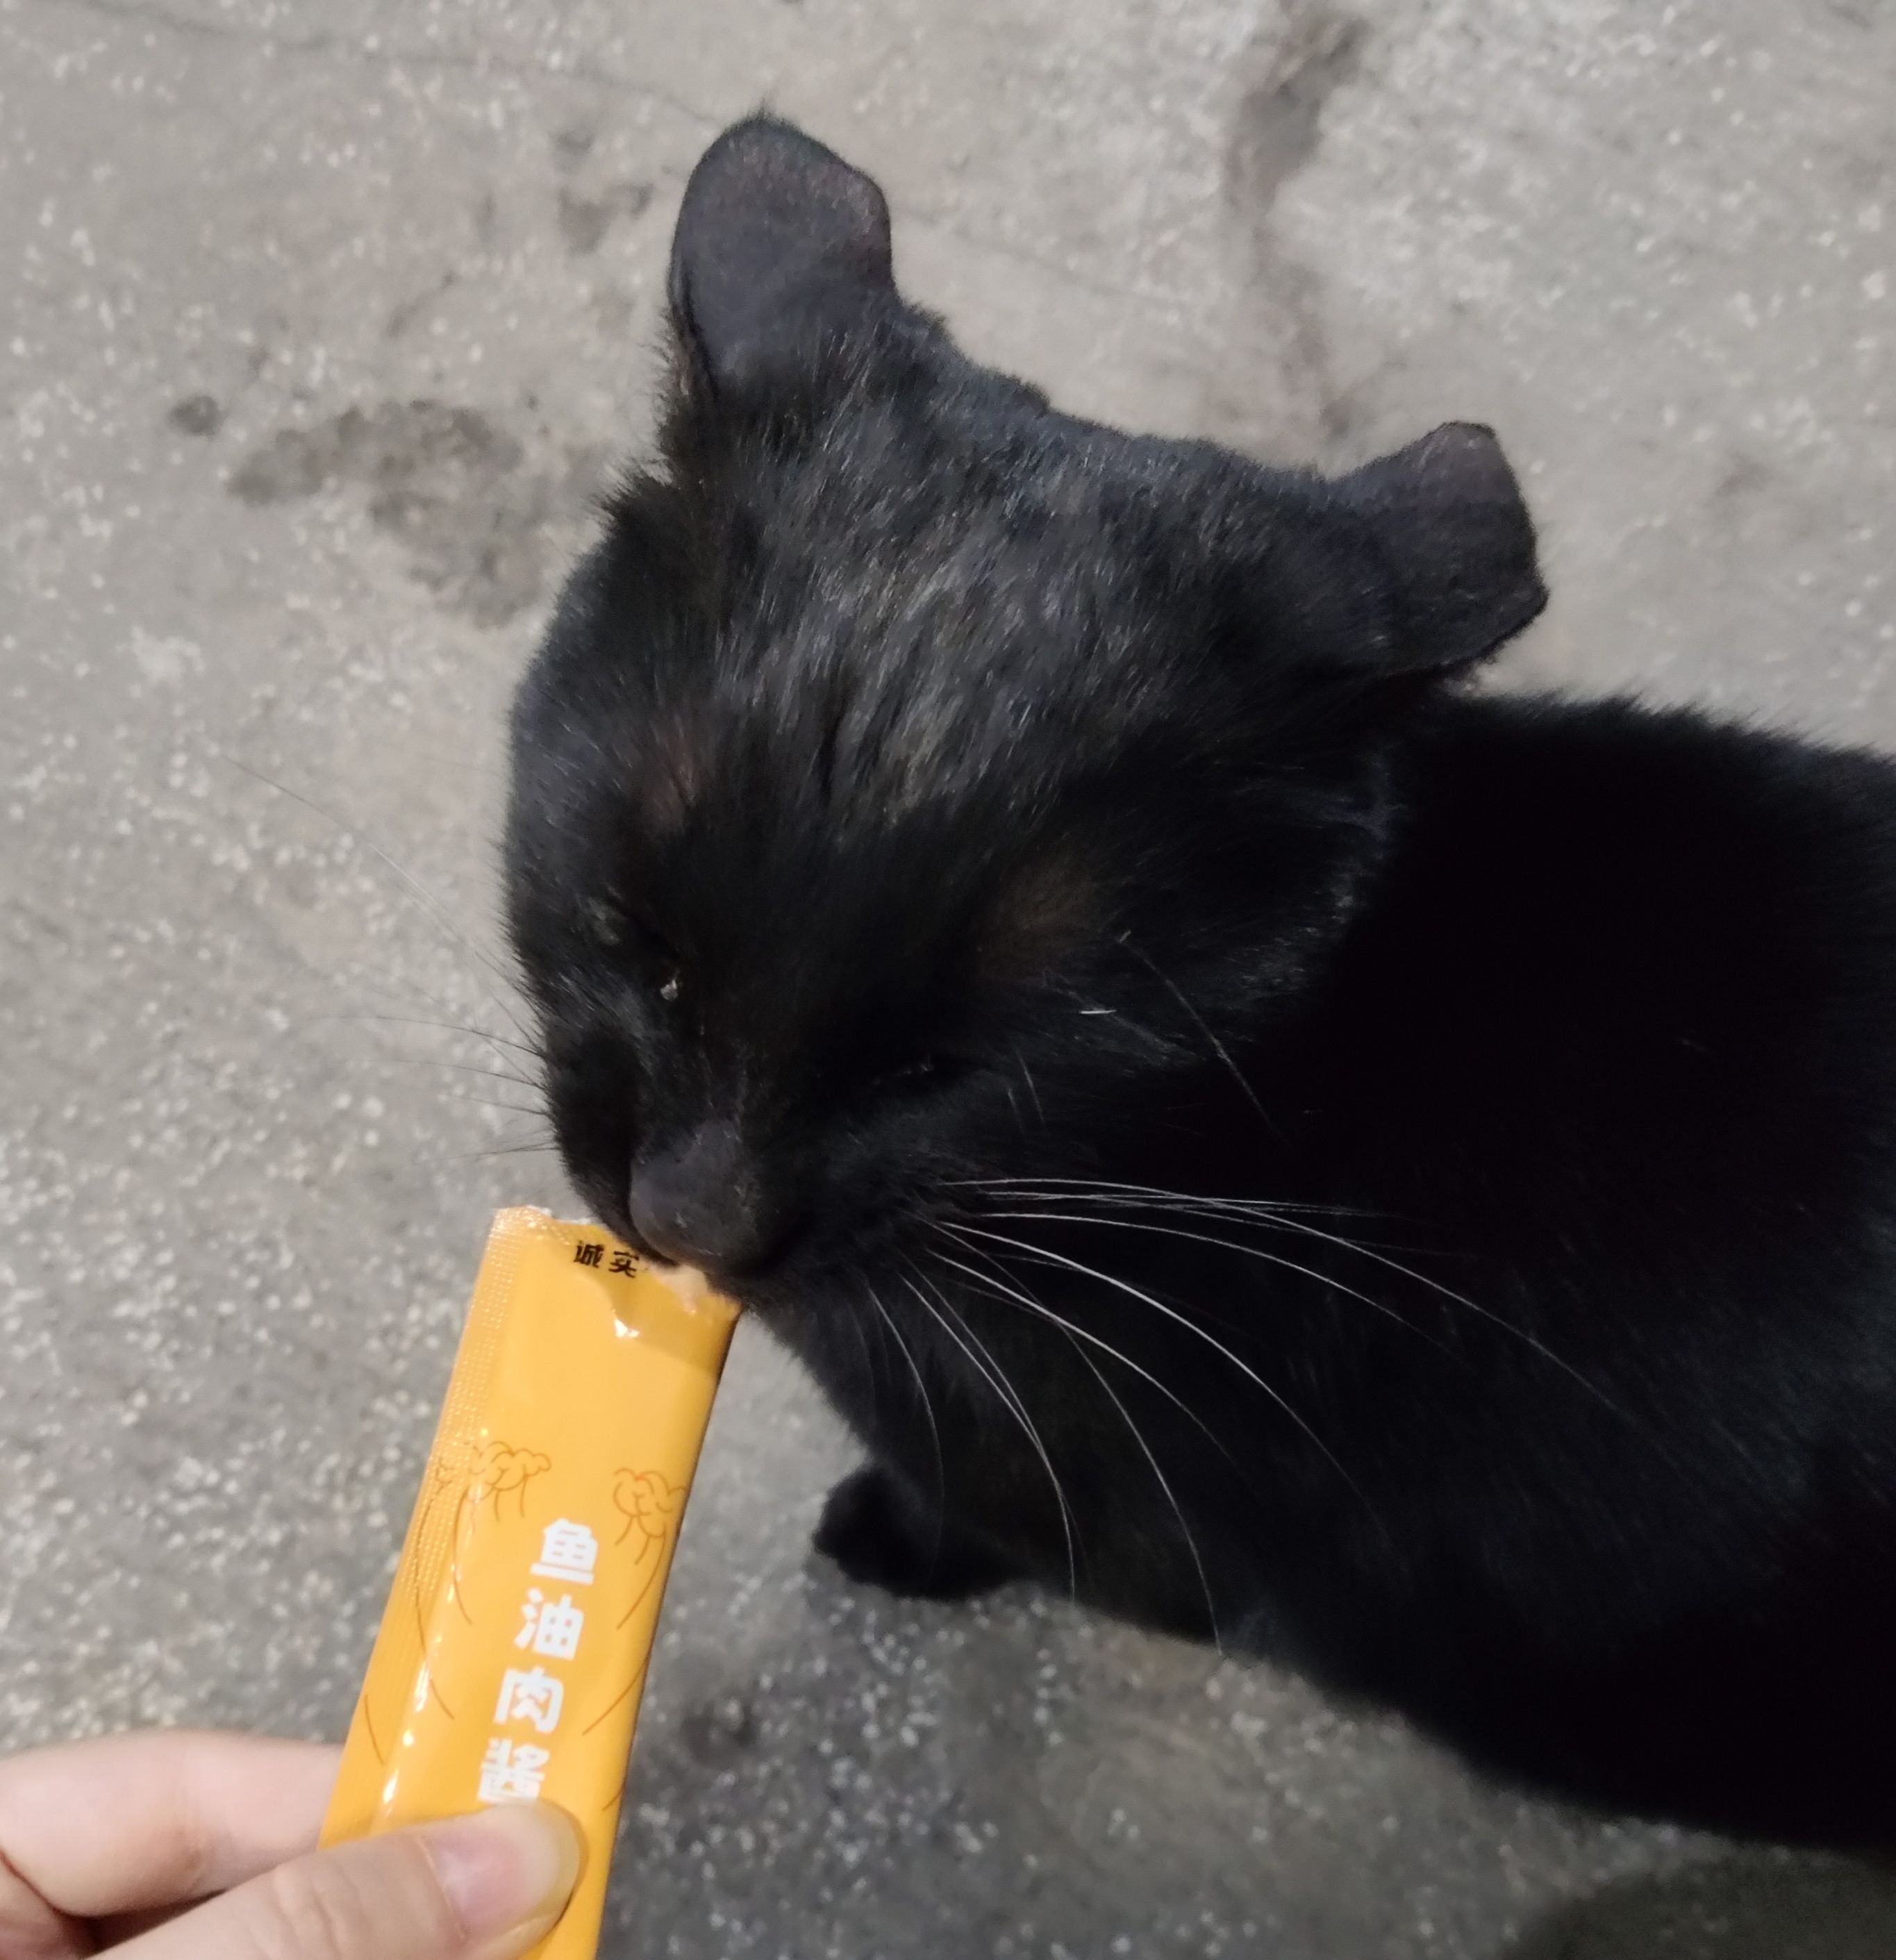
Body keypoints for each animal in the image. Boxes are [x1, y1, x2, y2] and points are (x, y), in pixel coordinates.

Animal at [504, 116, 1896, 1848]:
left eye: (948, 1067)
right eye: (642, 944)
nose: (697, 1212)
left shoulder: (1099, 1516)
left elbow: (988, 1525)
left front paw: (888, 1538)